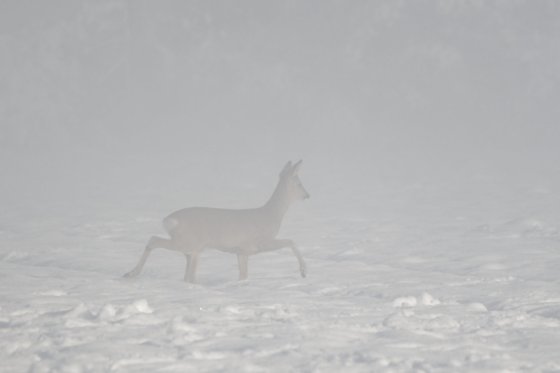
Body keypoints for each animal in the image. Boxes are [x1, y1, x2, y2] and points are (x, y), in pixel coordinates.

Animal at [122, 159, 310, 282]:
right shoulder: (260, 243)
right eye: (299, 183)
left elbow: (243, 275)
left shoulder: (241, 251)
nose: (307, 195)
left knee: (187, 276)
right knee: (153, 240)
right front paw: (303, 271)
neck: (271, 215)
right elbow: (291, 241)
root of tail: (169, 220)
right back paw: (131, 273)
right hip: (187, 242)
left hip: (191, 250)